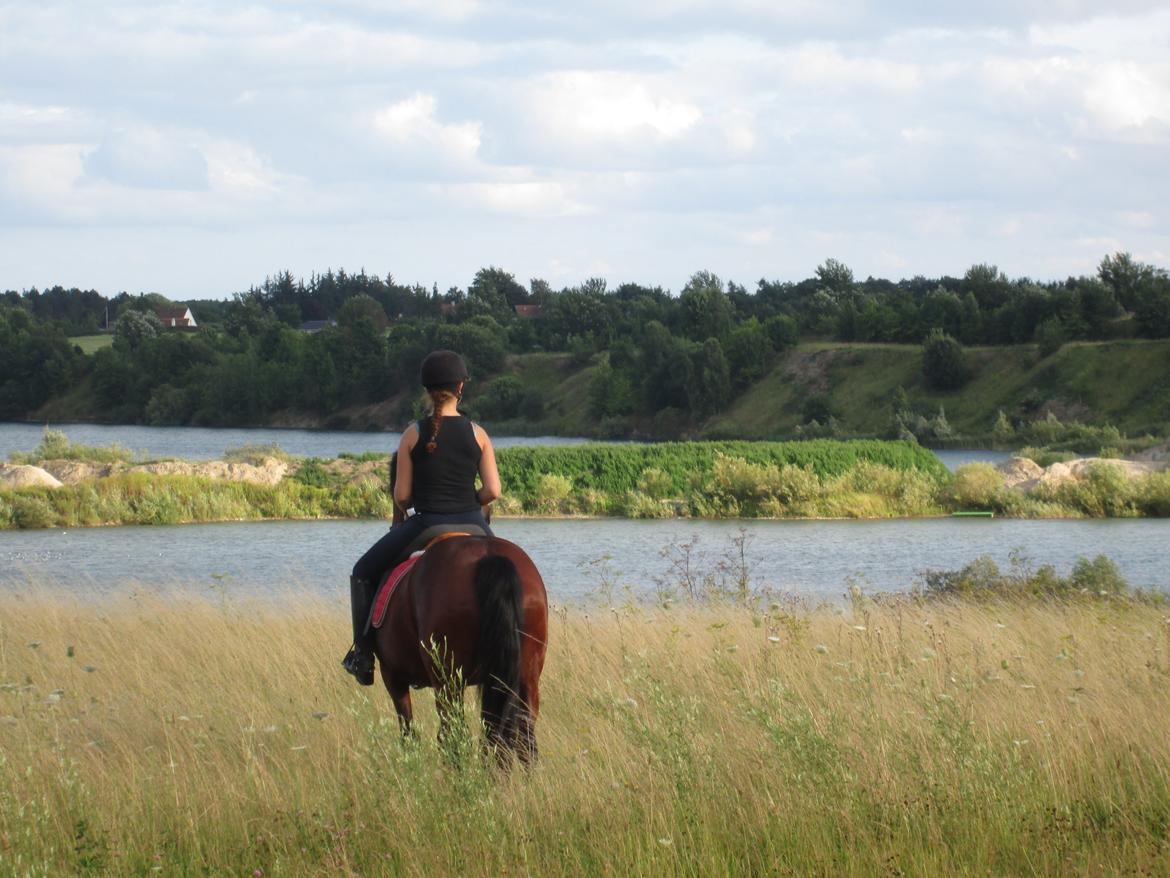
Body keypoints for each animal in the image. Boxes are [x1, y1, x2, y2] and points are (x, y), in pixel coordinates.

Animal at [372, 533, 549, 767]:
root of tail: (488, 555)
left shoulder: (392, 675)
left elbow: (408, 730)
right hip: (526, 676)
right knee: (522, 733)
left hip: (447, 682)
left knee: (453, 734)